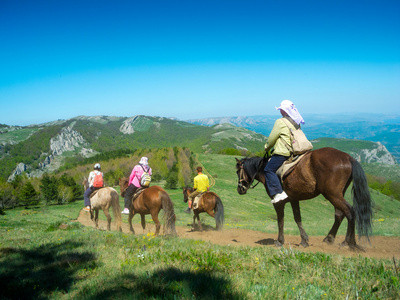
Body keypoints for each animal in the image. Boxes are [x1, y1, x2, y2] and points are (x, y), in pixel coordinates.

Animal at [236, 146, 374, 250]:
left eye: (238, 172)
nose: (240, 189)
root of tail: (348, 158)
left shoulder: (278, 202)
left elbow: (280, 220)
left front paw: (280, 241)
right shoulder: (294, 199)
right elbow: (298, 218)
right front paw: (304, 241)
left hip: (332, 195)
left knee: (350, 212)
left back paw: (348, 242)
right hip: (338, 194)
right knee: (340, 214)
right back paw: (330, 239)